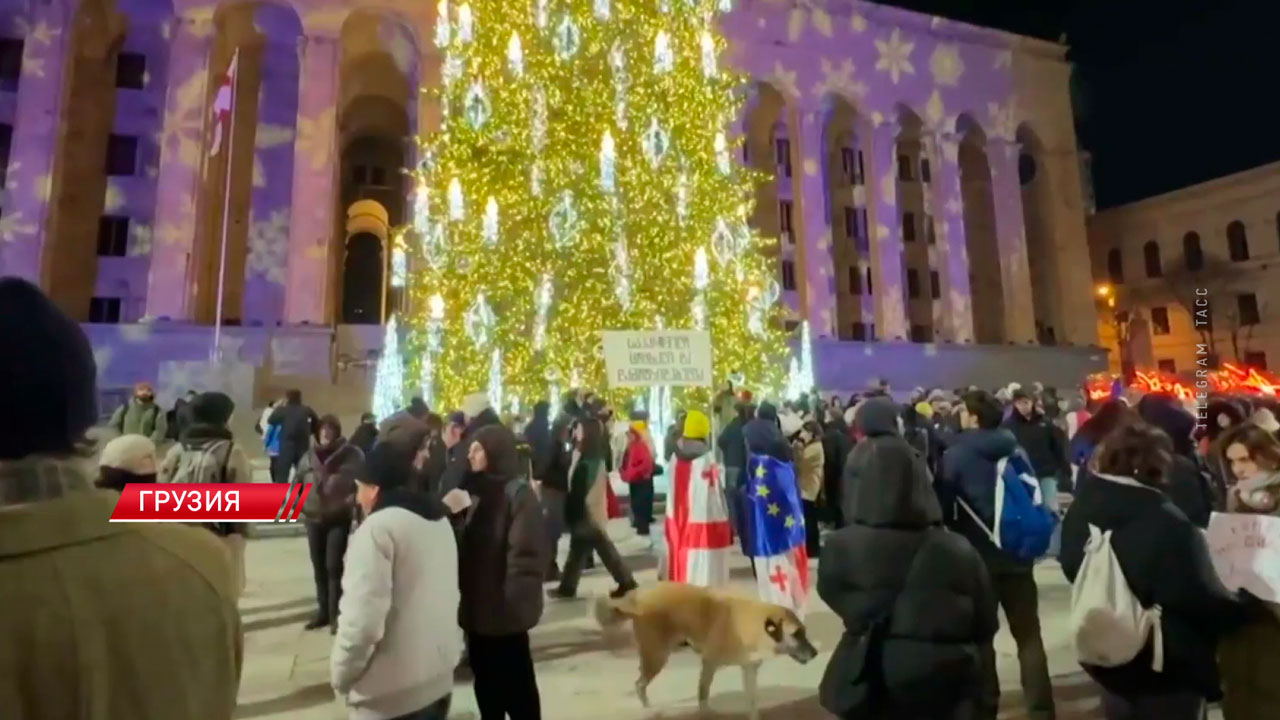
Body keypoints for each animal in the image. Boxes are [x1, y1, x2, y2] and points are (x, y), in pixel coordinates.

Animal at [593, 579, 814, 712]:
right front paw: (705, 711)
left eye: (804, 632)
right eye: (796, 634)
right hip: (657, 655)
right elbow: (703, 691)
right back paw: (648, 707)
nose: (815, 653)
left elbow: (752, 701)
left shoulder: (749, 669)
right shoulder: (709, 662)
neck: (751, 626)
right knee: (639, 684)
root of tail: (637, 600)